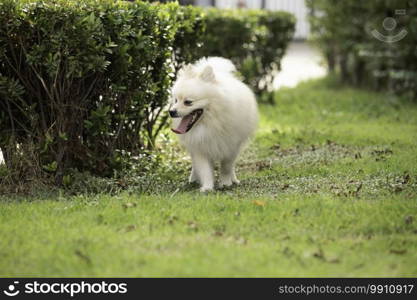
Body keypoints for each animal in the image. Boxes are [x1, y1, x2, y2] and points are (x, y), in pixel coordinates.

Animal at [169, 56, 256, 192]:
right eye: (176, 100)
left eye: (188, 102)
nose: (171, 112)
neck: (211, 123)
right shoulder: (200, 147)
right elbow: (204, 170)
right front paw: (207, 187)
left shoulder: (230, 146)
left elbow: (226, 167)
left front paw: (225, 183)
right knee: (194, 165)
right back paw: (193, 179)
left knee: (231, 166)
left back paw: (234, 180)